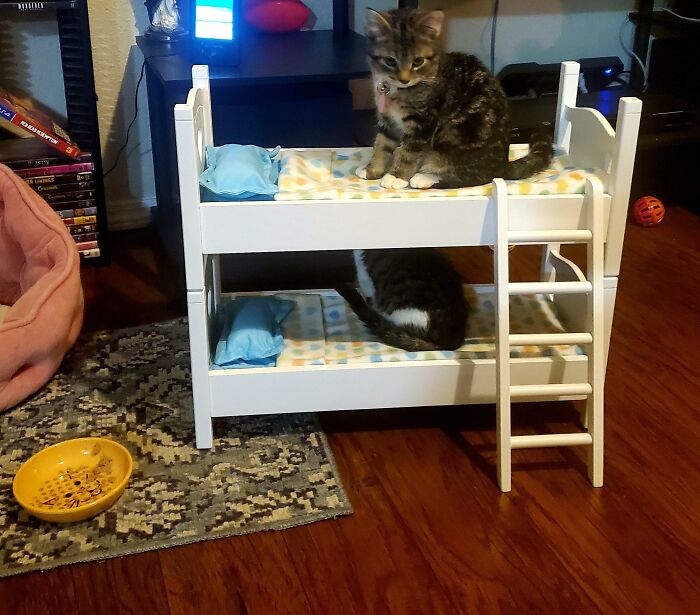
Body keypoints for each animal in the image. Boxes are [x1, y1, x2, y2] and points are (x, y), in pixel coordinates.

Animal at [360, 7, 552, 188]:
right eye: (390, 61)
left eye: (418, 62)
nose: (404, 79)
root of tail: (502, 165)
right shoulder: (387, 119)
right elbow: (382, 143)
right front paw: (372, 169)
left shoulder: (424, 120)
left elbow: (411, 151)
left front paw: (396, 176)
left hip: (457, 132)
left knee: (476, 176)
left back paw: (426, 177)